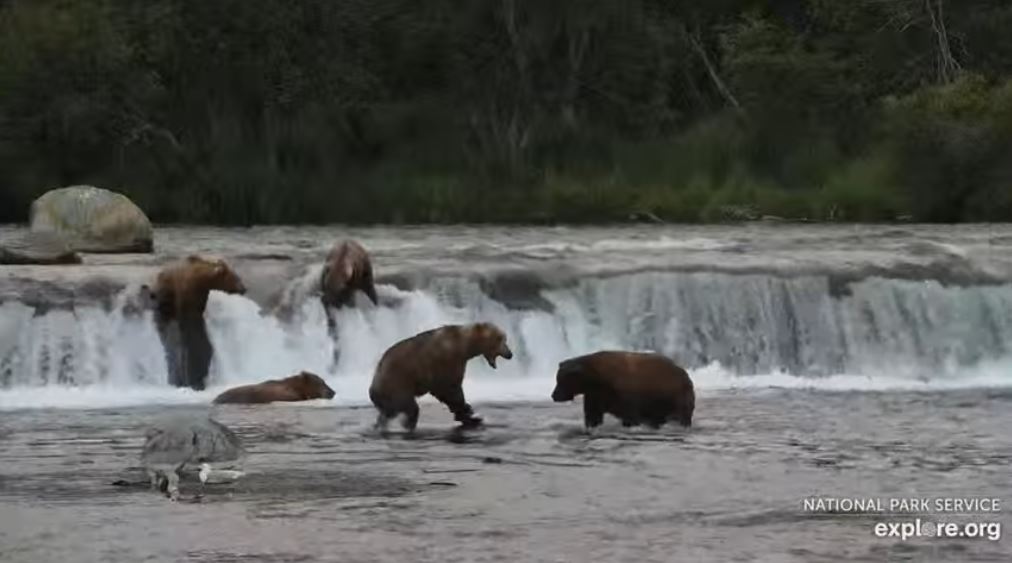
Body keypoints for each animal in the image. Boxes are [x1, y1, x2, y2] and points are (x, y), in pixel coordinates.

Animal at [368, 322, 514, 431]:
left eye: (504, 338)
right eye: (500, 339)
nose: (510, 354)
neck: (464, 347)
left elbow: (446, 392)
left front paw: (470, 415)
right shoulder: (446, 361)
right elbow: (450, 389)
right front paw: (471, 413)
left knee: (388, 413)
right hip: (397, 385)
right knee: (411, 408)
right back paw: (407, 424)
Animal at [546, 352, 696, 431]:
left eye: (561, 381)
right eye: (557, 378)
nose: (554, 395)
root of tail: (685, 373)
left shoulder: (624, 394)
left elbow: (631, 415)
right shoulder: (595, 395)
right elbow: (593, 414)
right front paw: (591, 426)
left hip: (675, 396)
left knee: (680, 414)